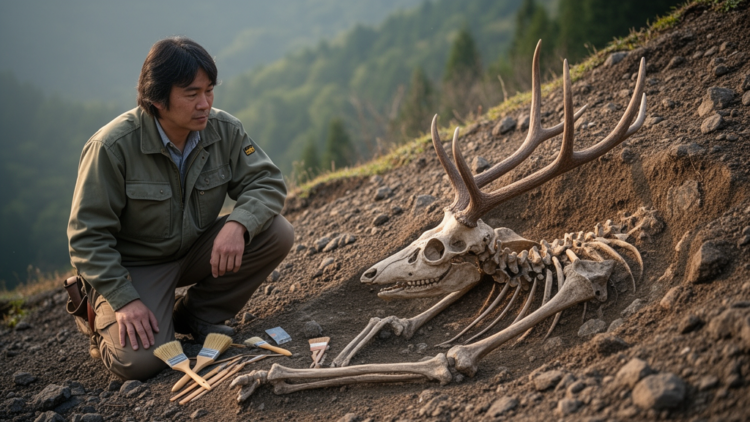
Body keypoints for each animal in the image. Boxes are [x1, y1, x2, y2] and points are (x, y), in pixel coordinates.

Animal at [230, 40, 656, 401]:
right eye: (424, 233)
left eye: (438, 250)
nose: (369, 274)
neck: (527, 263)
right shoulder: (488, 261)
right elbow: (399, 317)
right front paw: (267, 372)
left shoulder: (580, 275)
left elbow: (450, 359)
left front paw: (270, 376)